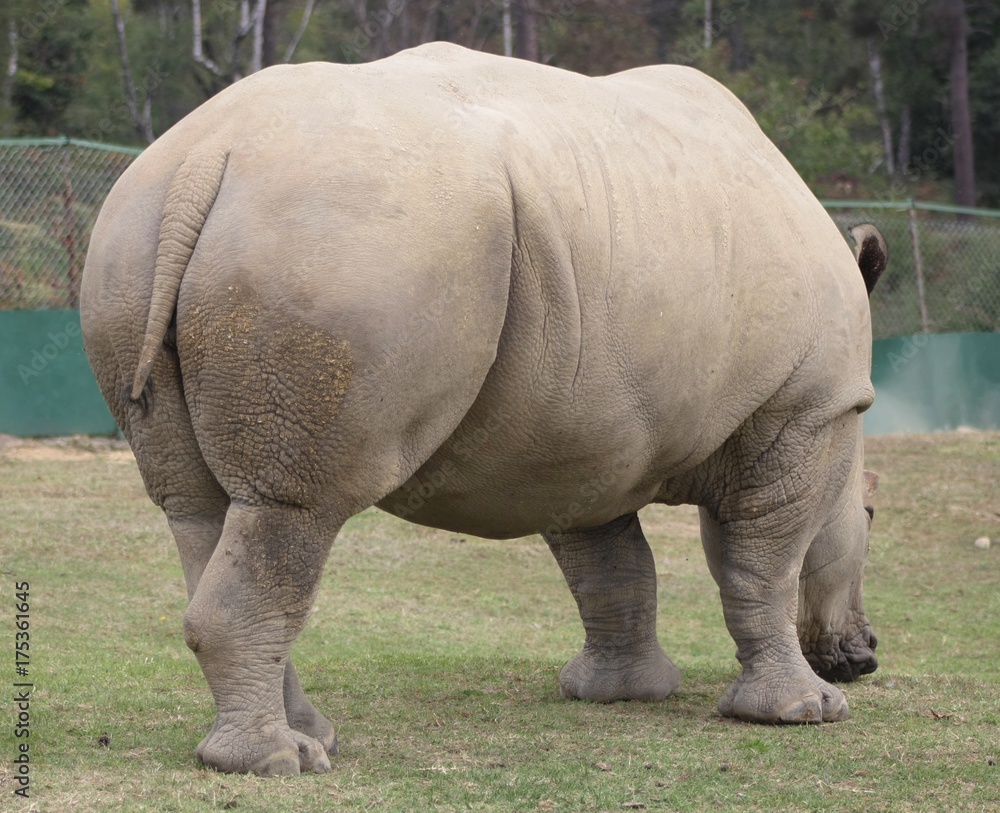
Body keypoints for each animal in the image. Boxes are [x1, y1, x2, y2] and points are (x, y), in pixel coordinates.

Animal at [81, 42, 886, 776]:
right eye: (874, 514)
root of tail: (206, 159)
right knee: (295, 508)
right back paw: (279, 762)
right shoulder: (809, 408)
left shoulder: (587, 426)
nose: (866, 656)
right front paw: (805, 711)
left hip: (139, 244)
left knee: (201, 508)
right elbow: (763, 561)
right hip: (345, 242)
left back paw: (308, 738)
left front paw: (623, 694)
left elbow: (613, 563)